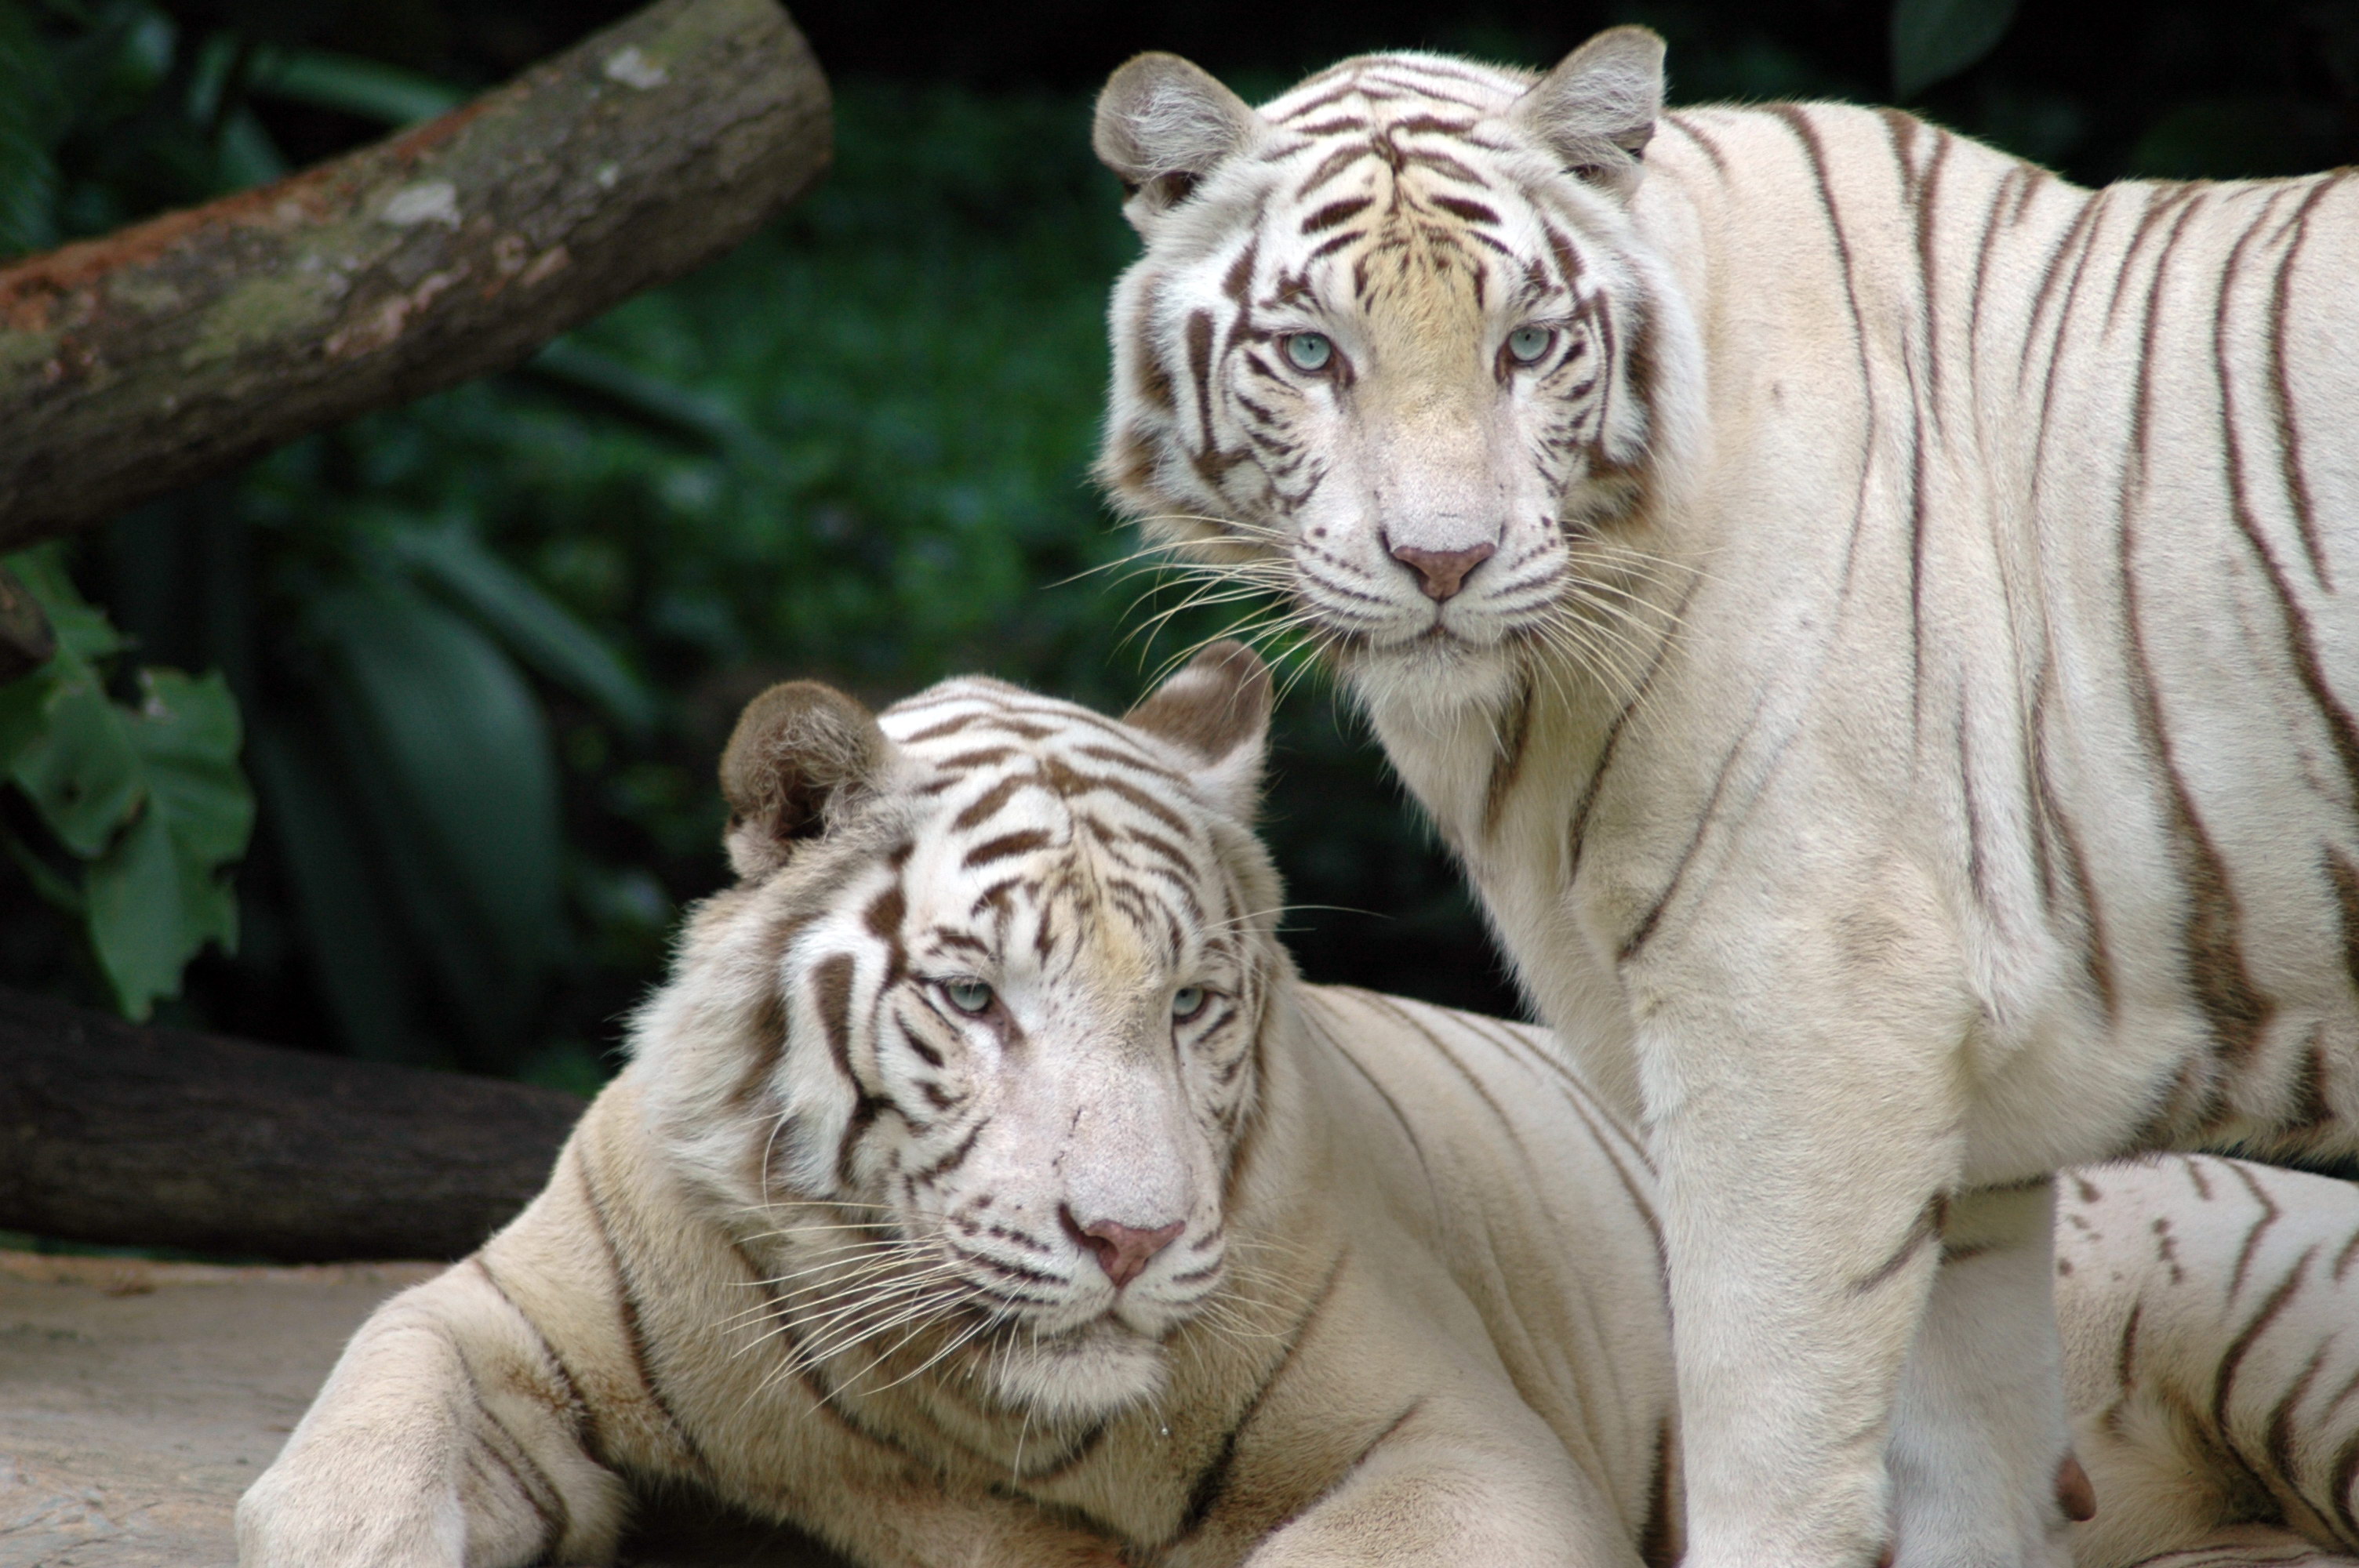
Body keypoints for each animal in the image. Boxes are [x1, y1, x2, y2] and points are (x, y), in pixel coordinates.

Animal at [232, 644, 2359, 1568]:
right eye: (972, 994)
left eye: (1187, 1001)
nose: (1129, 1239)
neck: (947, 1408)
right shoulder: (487, 1316)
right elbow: (354, 1450)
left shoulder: (1462, 1446)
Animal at [1088, 28, 2359, 1568]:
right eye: (1311, 352)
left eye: (1526, 344)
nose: (1443, 561)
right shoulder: (1975, 1160)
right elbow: (1969, 1472)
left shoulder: (1801, 1025)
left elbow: (1769, 1454)